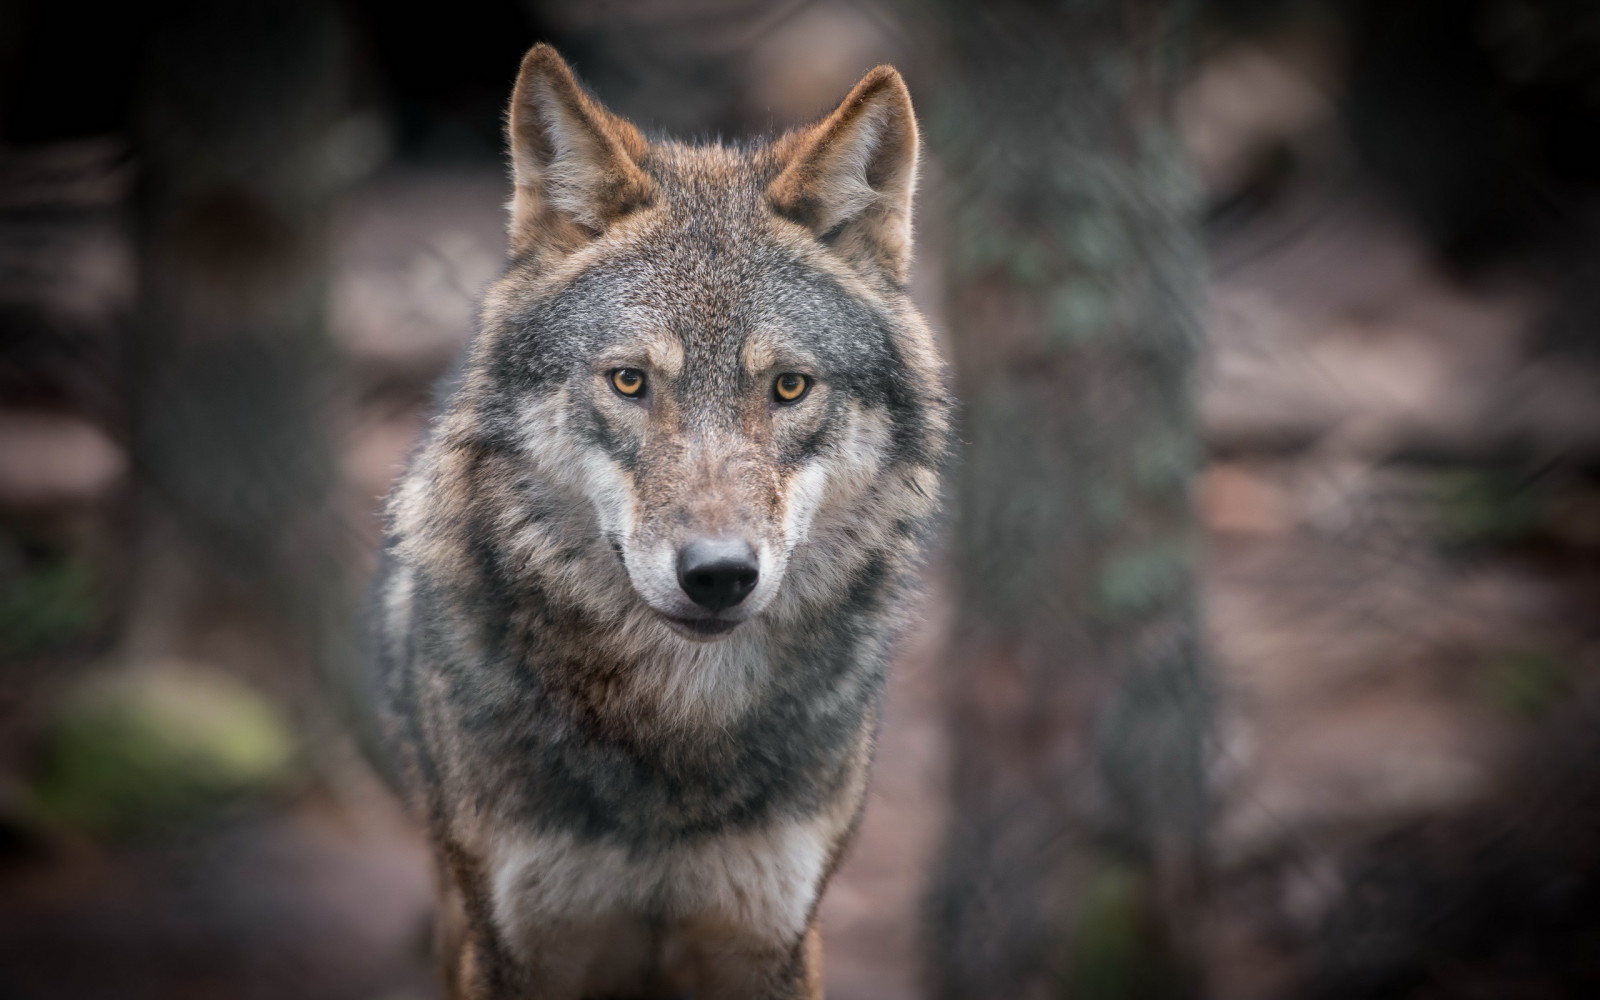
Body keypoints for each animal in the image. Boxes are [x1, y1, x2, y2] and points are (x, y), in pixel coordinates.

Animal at [366, 42, 947, 992]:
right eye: (630, 381)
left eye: (790, 387)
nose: (718, 575)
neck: (676, 734)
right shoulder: (515, 945)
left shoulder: (771, 939)